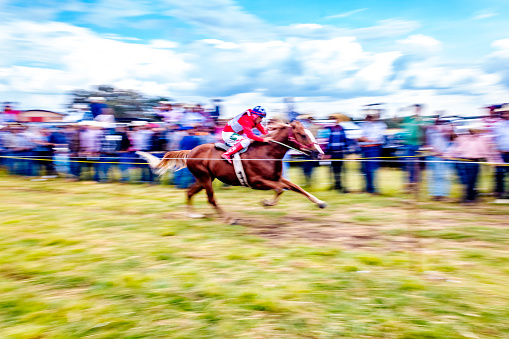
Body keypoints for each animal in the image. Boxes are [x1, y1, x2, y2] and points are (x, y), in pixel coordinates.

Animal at [137, 121, 328, 222]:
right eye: (303, 135)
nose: (320, 153)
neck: (268, 153)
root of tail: (190, 151)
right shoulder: (257, 181)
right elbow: (281, 189)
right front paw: (266, 203)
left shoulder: (277, 177)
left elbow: (296, 187)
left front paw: (320, 202)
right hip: (205, 178)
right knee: (211, 198)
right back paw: (229, 219)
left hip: (203, 178)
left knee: (189, 192)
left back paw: (193, 214)